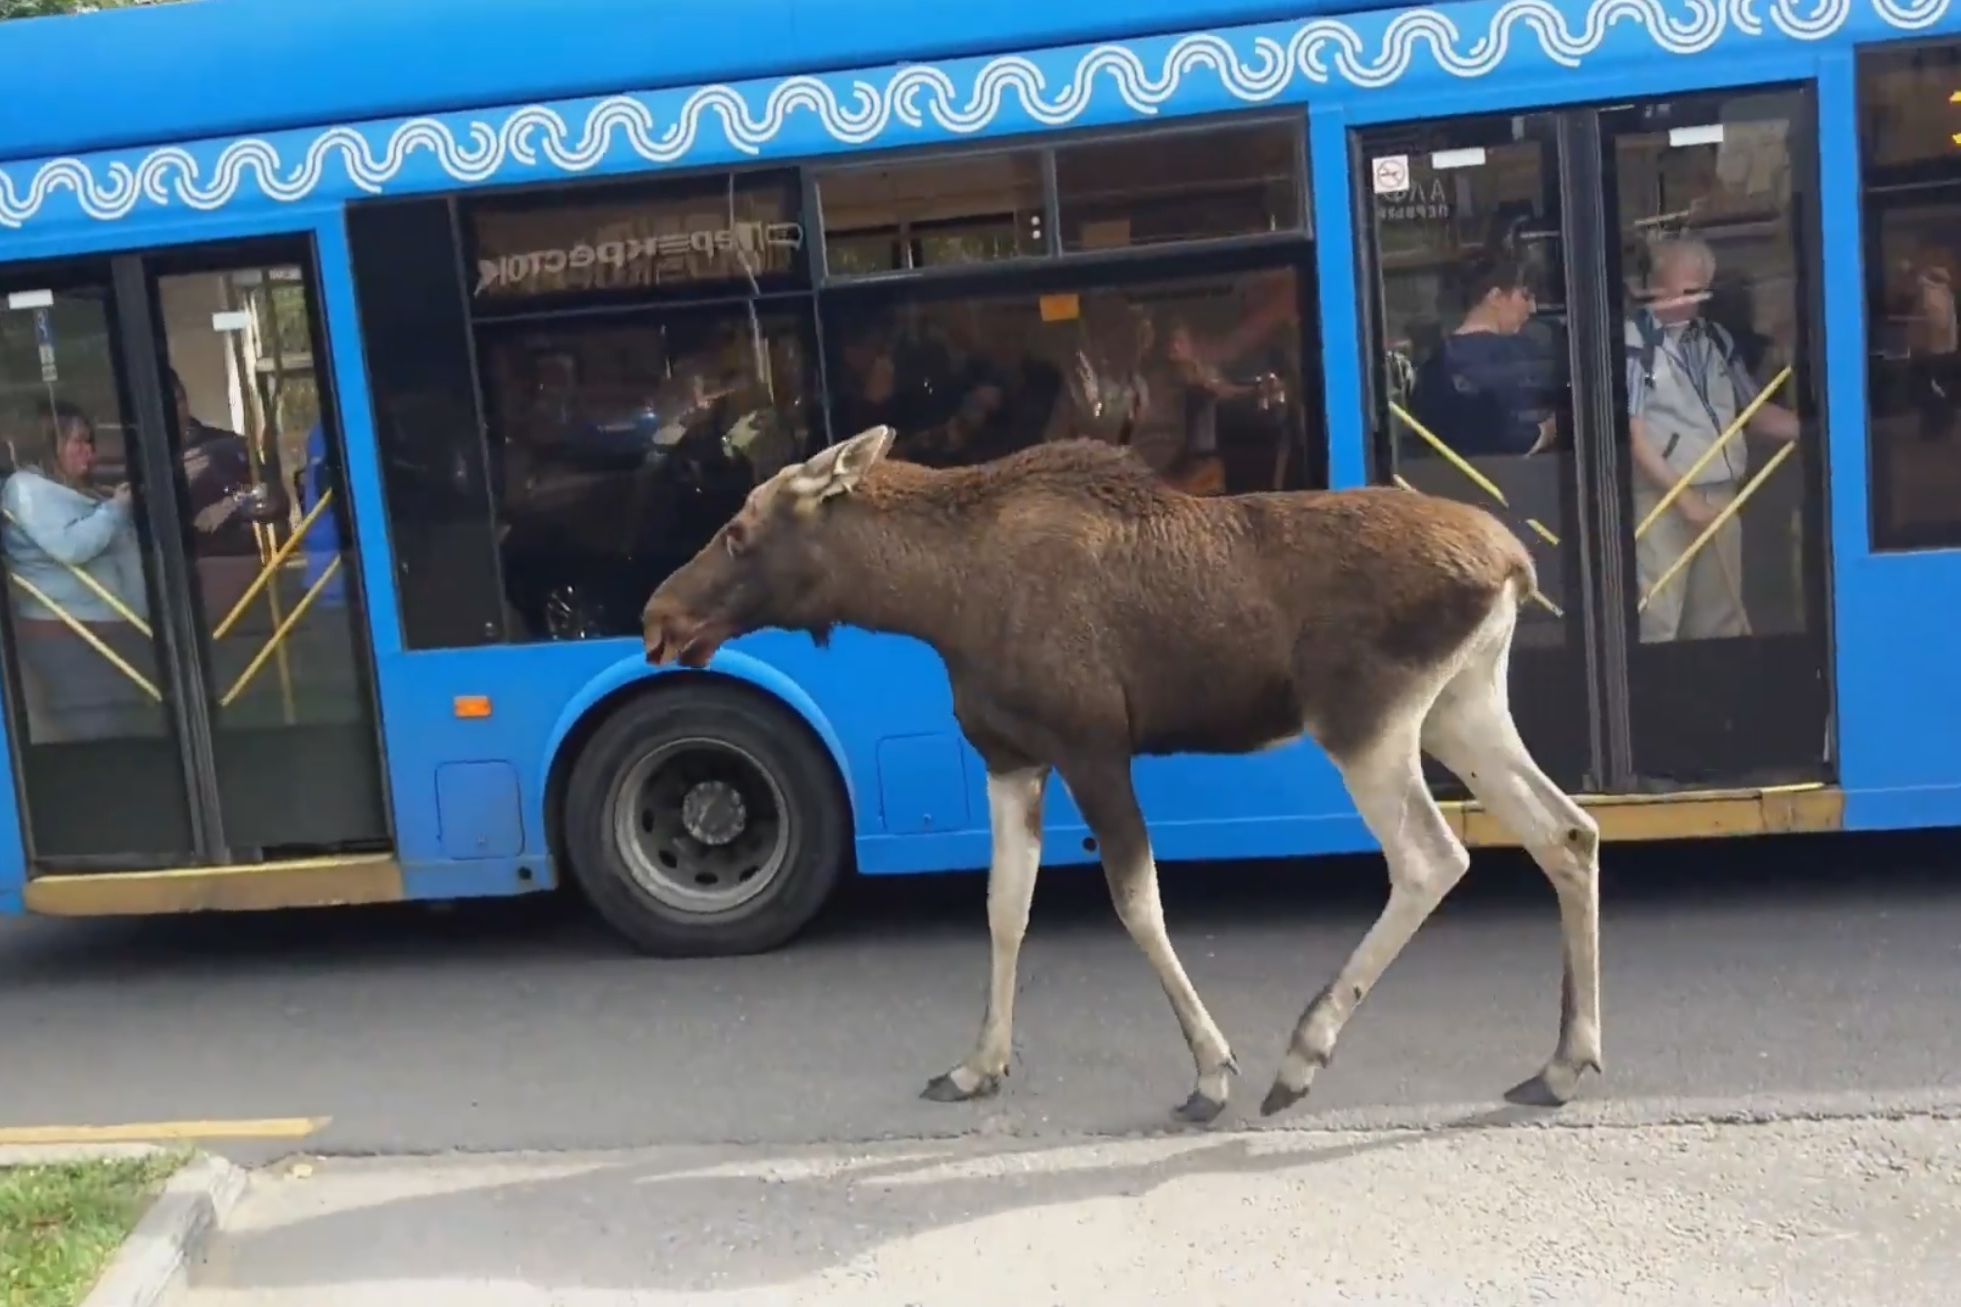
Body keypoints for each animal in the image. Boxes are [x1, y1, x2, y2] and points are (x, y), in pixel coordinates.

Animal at [635, 427, 1600, 1122]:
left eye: (736, 531)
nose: (656, 616)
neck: (935, 600)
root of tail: (1515, 566)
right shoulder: (1011, 754)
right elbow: (1004, 907)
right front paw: (977, 1064)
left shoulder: (1092, 743)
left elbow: (1137, 902)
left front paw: (1210, 1072)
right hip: (1460, 705)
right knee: (1567, 830)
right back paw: (1561, 1062)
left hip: (1366, 720)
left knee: (1432, 858)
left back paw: (1301, 1054)